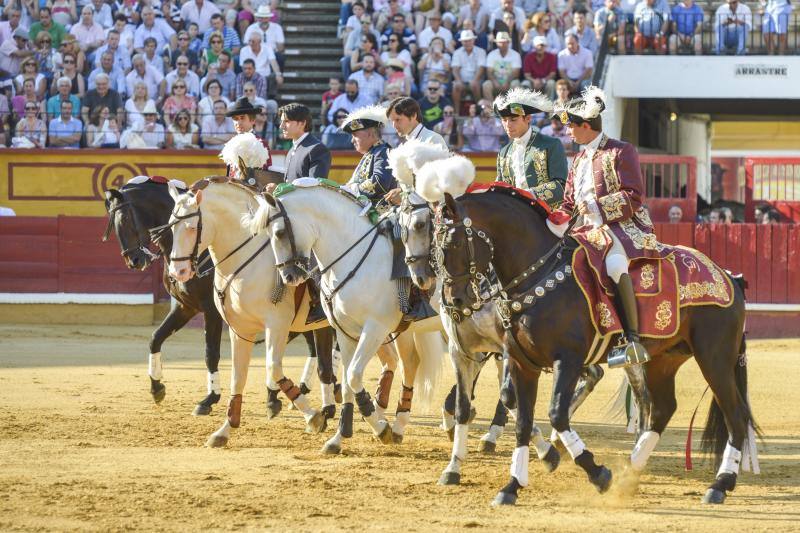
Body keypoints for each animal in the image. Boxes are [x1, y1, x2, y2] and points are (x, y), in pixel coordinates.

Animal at [102, 177, 225, 414]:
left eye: (126, 218)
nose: (134, 261)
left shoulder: (212, 309)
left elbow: (211, 352)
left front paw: (209, 399)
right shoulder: (185, 306)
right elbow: (155, 338)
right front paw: (156, 388)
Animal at [166, 178, 334, 444]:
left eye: (192, 227)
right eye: (172, 227)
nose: (178, 272)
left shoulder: (276, 324)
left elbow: (273, 368)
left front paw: (311, 416)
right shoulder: (239, 329)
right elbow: (238, 376)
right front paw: (225, 429)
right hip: (323, 326)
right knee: (326, 367)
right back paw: (330, 410)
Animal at [250, 180, 446, 454]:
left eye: (278, 233)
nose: (289, 277)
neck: (352, 257)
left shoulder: (374, 328)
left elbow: (353, 375)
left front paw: (378, 425)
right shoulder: (345, 332)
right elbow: (346, 381)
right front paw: (339, 437)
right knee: (411, 363)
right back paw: (400, 426)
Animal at [396, 191, 604, 486]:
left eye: (421, 225)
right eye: (400, 228)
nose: (421, 278)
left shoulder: (505, 348)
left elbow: (507, 396)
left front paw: (544, 451)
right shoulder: (464, 348)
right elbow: (466, 401)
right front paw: (454, 461)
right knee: (594, 373)